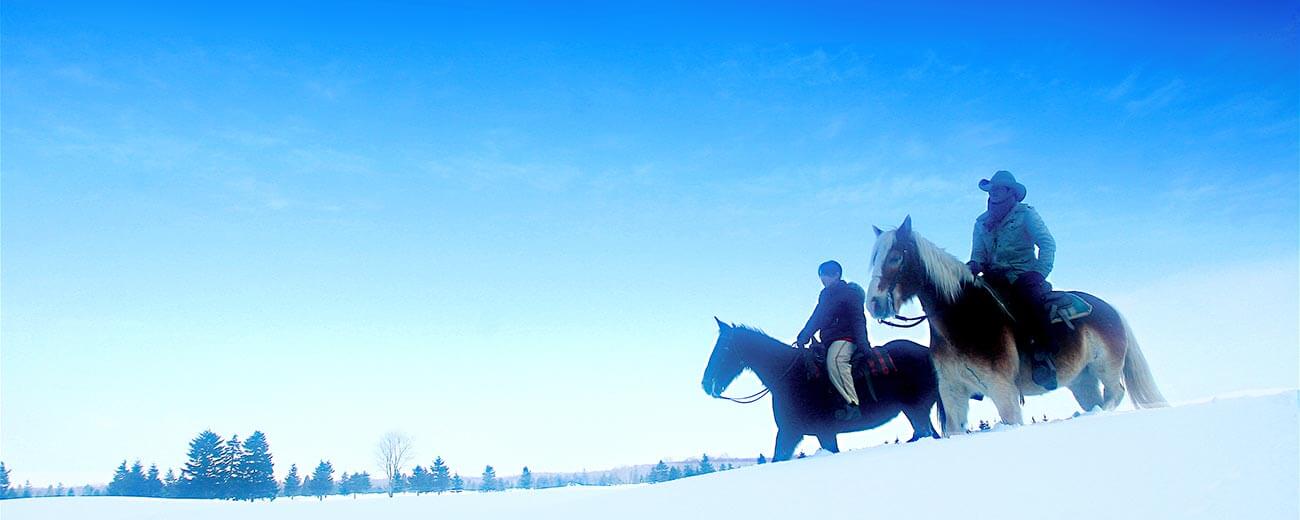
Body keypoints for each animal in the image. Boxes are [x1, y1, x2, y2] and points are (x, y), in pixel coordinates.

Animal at [707, 318, 941, 460]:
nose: (706, 384)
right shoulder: (803, 433)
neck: (789, 375)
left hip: (917, 411)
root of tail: (927, 352)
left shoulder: (802, 432)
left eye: (724, 348)